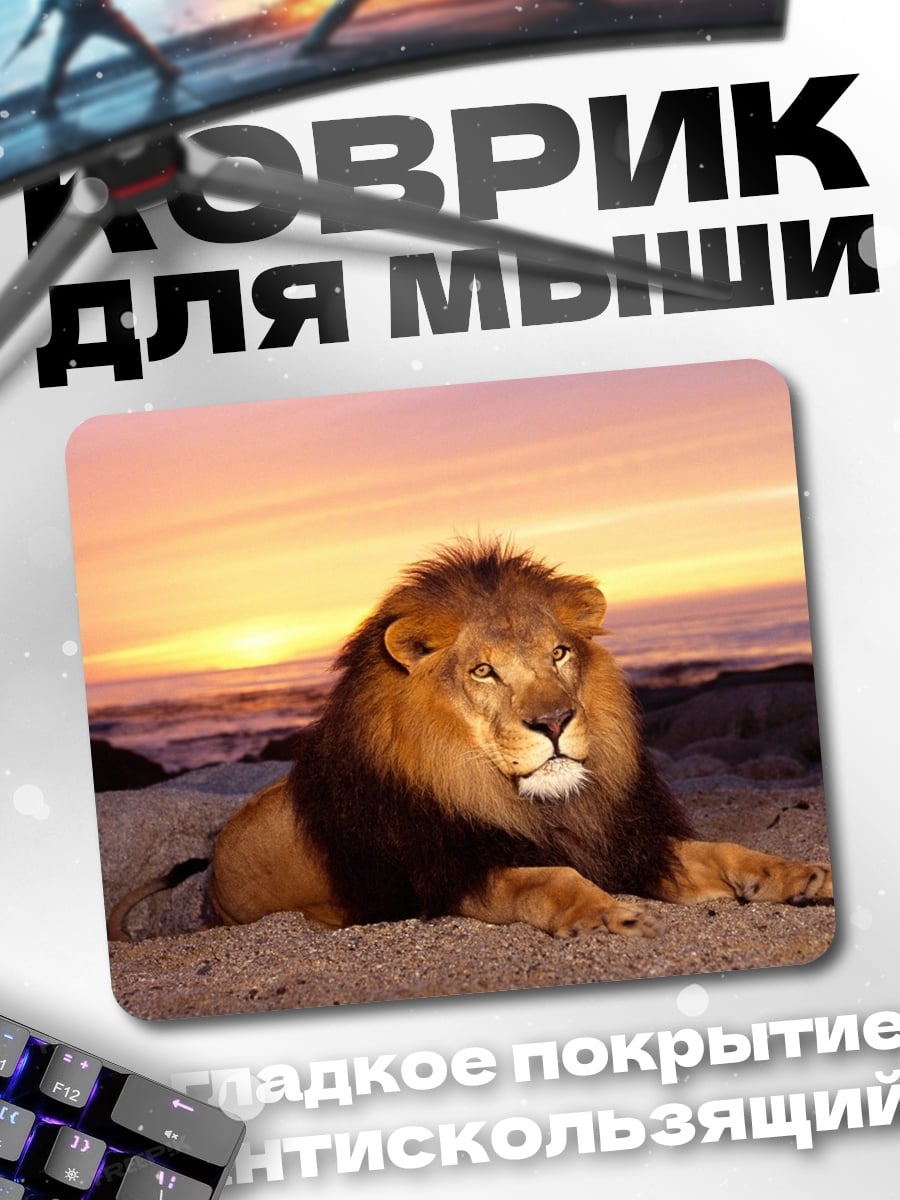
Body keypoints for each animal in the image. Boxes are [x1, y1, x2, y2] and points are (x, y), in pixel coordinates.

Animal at [198, 539, 832, 941]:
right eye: (484, 671)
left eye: (560, 653)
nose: (554, 722)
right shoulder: (454, 875)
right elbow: (549, 877)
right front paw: (610, 915)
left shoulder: (626, 842)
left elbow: (724, 849)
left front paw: (800, 877)